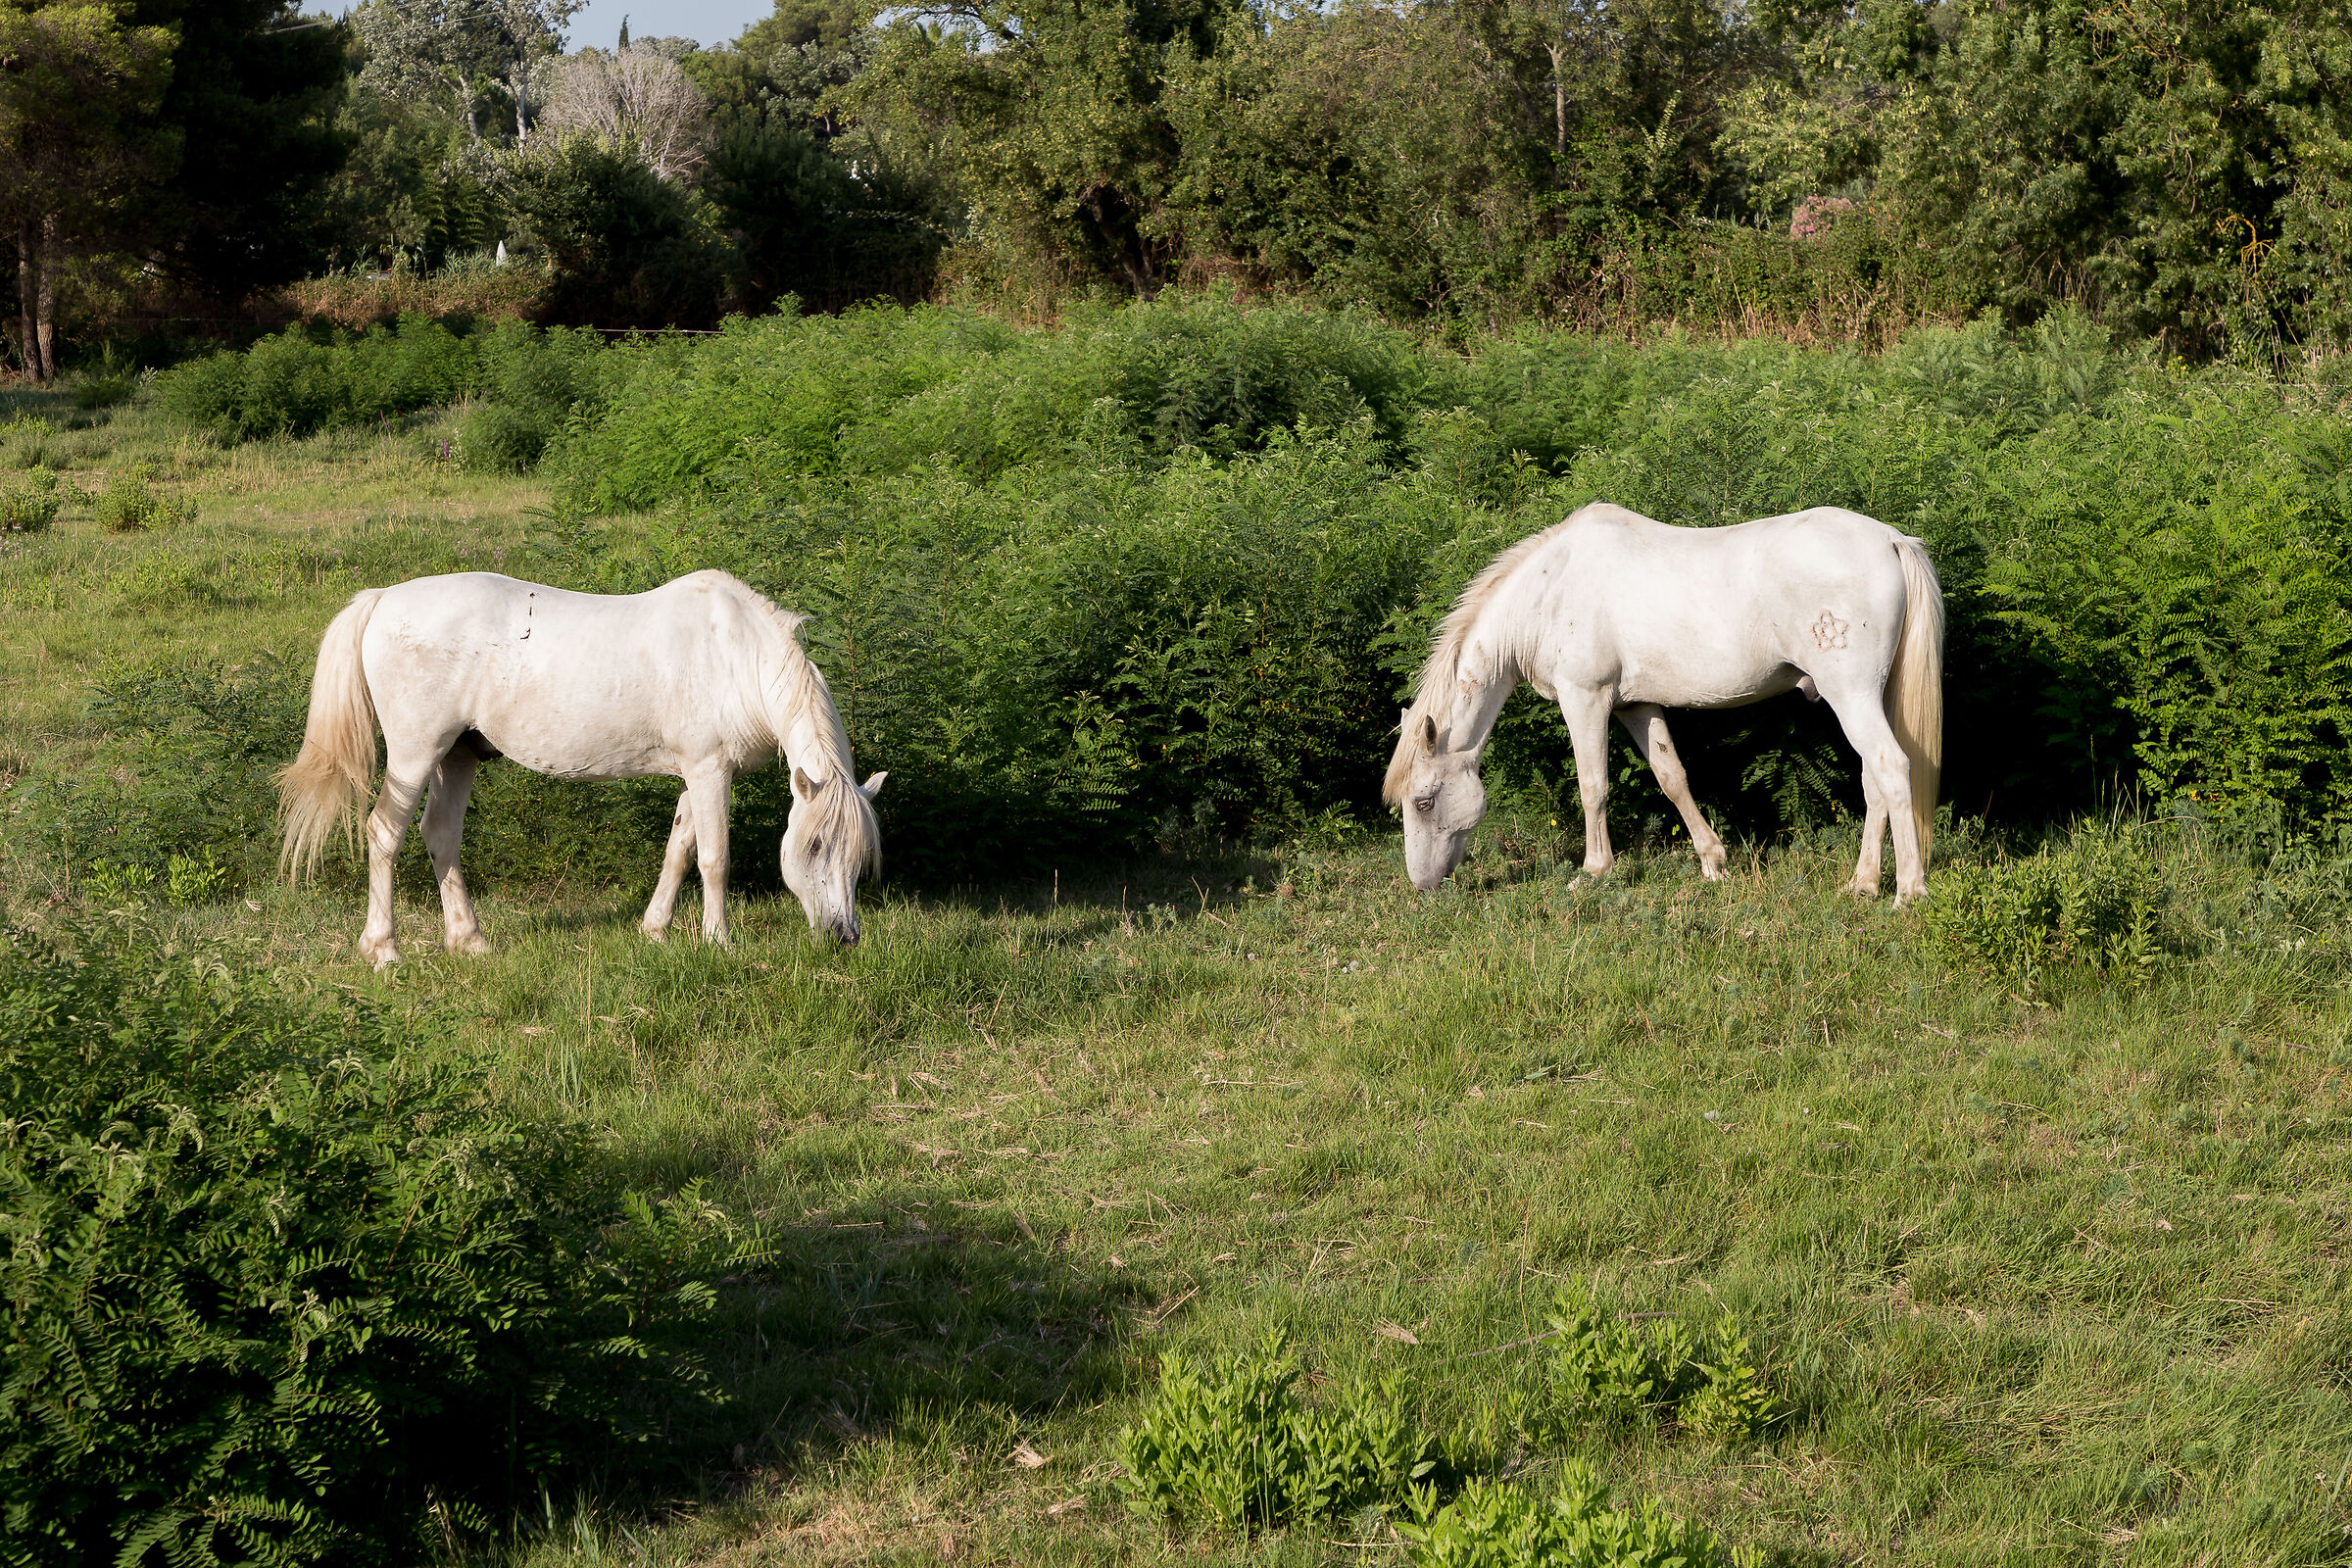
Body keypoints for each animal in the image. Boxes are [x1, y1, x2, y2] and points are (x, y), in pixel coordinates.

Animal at [278, 569, 884, 968]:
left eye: (860, 856)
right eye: (814, 846)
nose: (844, 937)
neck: (736, 656)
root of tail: (383, 599)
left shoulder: (700, 774)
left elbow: (678, 848)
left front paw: (655, 930)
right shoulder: (710, 770)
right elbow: (714, 859)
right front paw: (719, 943)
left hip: (457, 755)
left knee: (440, 835)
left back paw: (469, 941)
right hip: (414, 753)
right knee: (385, 833)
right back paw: (384, 949)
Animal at [1384, 503, 1943, 904]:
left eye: (1424, 801)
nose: (1421, 885)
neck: (1550, 590)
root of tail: (1891, 540)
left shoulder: (1585, 699)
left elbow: (1593, 786)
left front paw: (1593, 872)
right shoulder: (1637, 706)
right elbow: (1672, 777)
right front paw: (1714, 862)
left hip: (1851, 695)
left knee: (1891, 768)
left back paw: (1907, 893)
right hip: (1865, 697)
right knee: (1873, 779)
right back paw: (1862, 884)